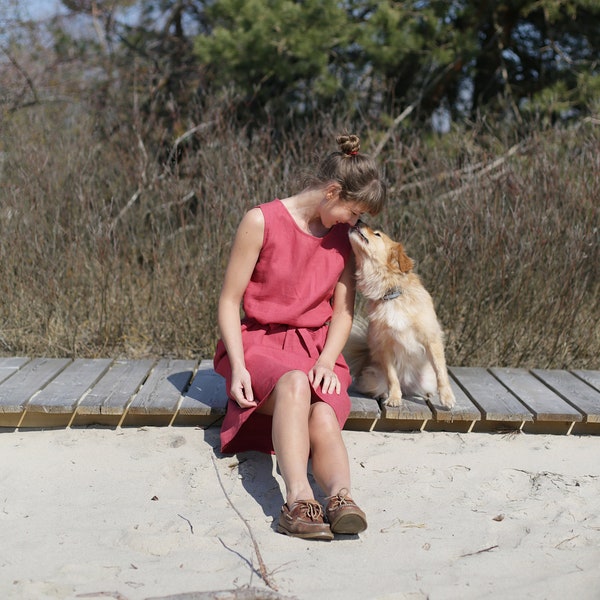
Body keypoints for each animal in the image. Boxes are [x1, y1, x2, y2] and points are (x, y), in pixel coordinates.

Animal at [344, 223, 458, 410]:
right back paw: (385, 393)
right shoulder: (385, 347)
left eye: (377, 234)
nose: (359, 222)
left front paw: (447, 398)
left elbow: (441, 372)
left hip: (426, 380)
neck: (392, 295)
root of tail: (408, 385)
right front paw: (394, 398)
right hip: (373, 379)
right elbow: (392, 377)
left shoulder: (431, 339)